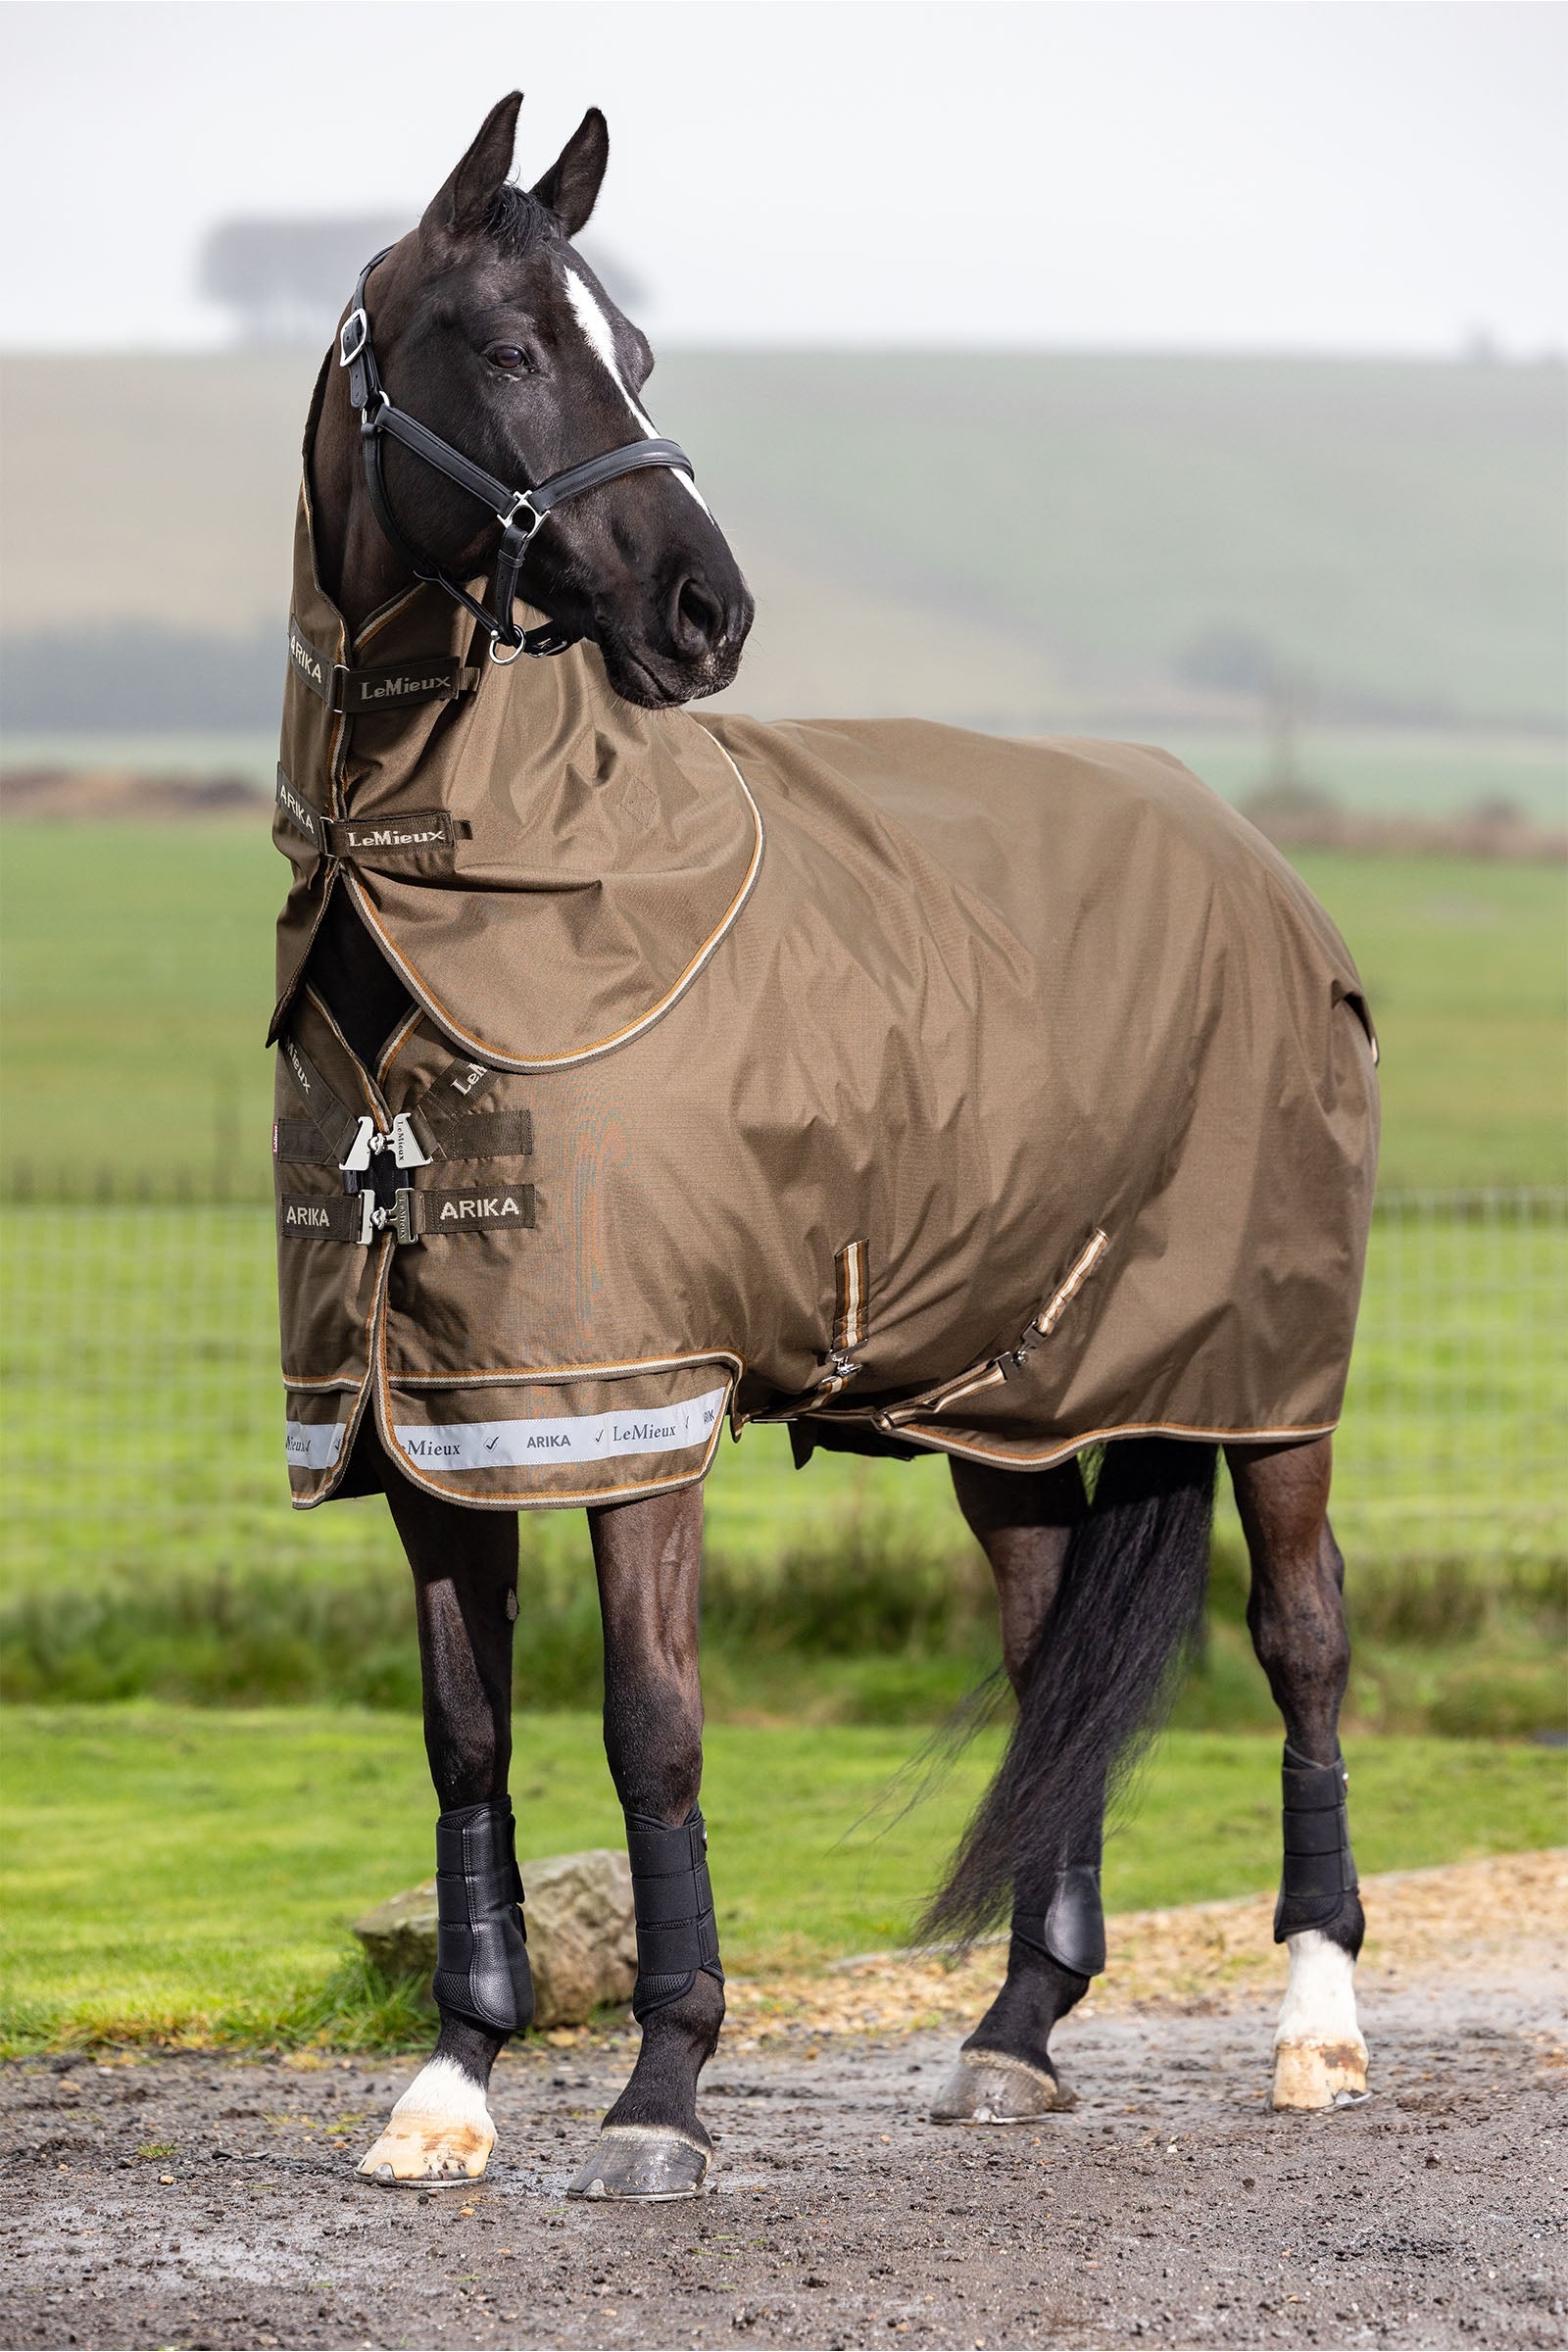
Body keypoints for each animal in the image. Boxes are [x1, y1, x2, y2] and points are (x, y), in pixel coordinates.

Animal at [273, 91, 1376, 2201]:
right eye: (513, 346)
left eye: (635, 348)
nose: (705, 611)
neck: (458, 911)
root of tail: (1250, 856)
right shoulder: (428, 1418)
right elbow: (468, 1738)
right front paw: (450, 2083)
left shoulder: (632, 1404)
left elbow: (654, 1728)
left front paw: (658, 2094)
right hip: (1011, 1404)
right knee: (1045, 1668)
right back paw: (1015, 2032)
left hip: (1270, 1377)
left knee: (1300, 1638)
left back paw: (1318, 2025)